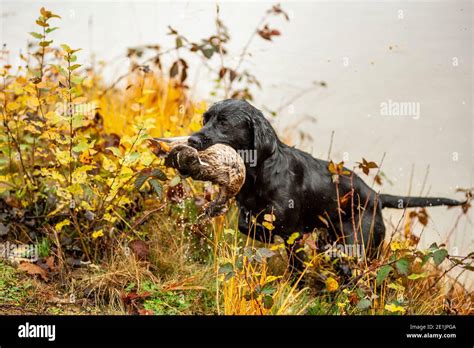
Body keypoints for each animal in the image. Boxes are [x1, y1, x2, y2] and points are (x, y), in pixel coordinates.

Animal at [188, 99, 462, 274]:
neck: (260, 175)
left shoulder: (293, 234)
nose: (191, 139)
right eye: (206, 119)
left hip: (359, 244)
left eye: (224, 123)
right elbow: (247, 224)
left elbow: (295, 265)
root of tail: (376, 196)